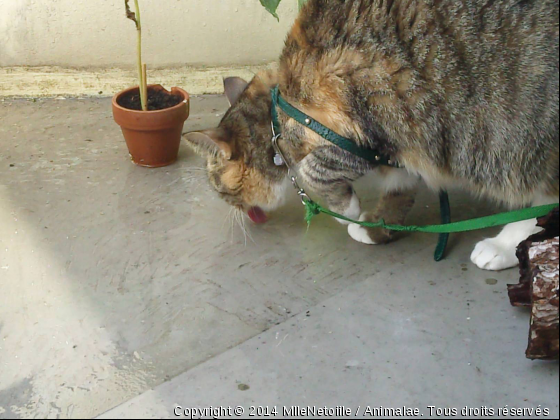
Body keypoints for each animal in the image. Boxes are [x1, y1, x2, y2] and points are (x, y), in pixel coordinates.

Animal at [185, 0, 560, 270]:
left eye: (220, 190)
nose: (233, 210)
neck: (279, 107)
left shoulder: (363, 125)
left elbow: (314, 169)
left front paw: (347, 209)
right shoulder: (401, 143)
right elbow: (399, 187)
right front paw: (379, 227)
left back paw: (504, 245)